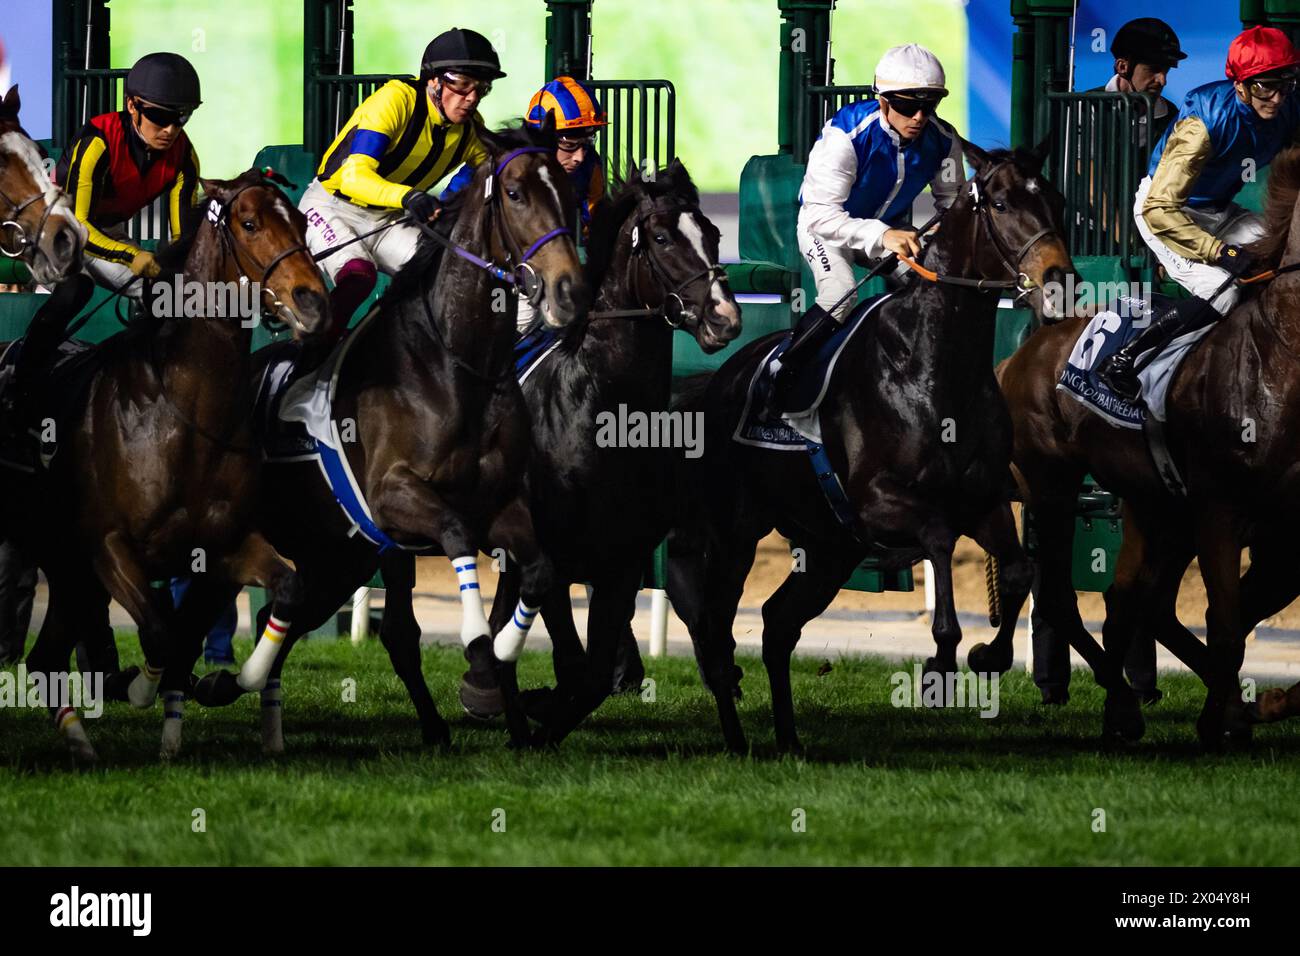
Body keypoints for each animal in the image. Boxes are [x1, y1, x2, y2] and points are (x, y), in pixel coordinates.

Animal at [12, 167, 327, 759]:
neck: (184, 413)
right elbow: (162, 633)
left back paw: (80, 742)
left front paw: (237, 679)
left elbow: (289, 587)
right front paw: (136, 687)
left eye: (300, 221)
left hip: (68, 571)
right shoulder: (109, 546)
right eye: (249, 223)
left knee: (45, 657)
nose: (314, 301)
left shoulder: (225, 544)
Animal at [184, 121, 590, 754]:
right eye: (516, 194)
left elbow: (542, 570)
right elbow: (454, 533)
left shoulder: (501, 502)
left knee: (290, 611)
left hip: (335, 556)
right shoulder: (394, 497)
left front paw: (502, 658)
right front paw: (479, 643)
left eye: (570, 196)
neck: (453, 364)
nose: (568, 289)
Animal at [665, 143, 1071, 754]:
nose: (1057, 279)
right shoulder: (877, 502)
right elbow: (939, 538)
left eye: (1054, 198)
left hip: (829, 546)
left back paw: (788, 741)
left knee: (778, 624)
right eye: (1000, 203)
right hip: (735, 532)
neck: (931, 368)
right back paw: (736, 736)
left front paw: (988, 654)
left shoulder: (985, 500)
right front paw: (940, 663)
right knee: (714, 624)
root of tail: (717, 382)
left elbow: (1021, 568)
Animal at [993, 145, 1300, 749]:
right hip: (1052, 485)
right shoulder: (1220, 512)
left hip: (1156, 504)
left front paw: (1245, 710)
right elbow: (1227, 627)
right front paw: (1222, 721)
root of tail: (1027, 347)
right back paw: (1125, 707)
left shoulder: (1281, 536)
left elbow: (1234, 619)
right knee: (1067, 594)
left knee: (1133, 601)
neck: (1278, 356)